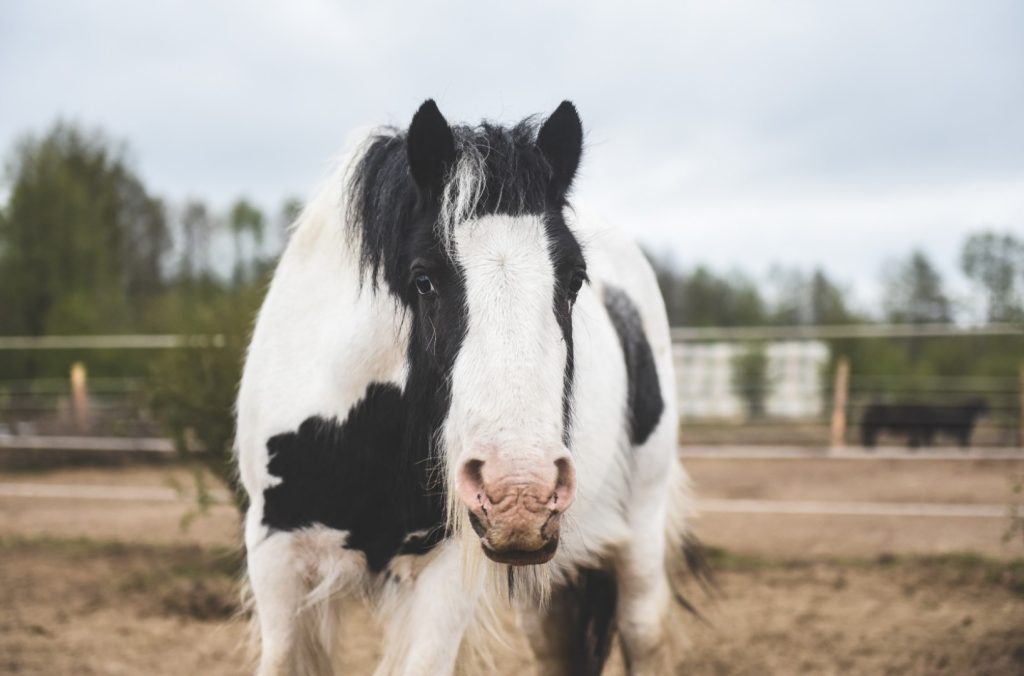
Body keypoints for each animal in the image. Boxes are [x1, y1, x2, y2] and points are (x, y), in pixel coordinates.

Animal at [234, 100, 700, 676]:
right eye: (423, 279)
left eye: (575, 279)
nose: (519, 494)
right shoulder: (276, 558)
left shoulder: (447, 570)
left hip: (640, 529)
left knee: (643, 630)